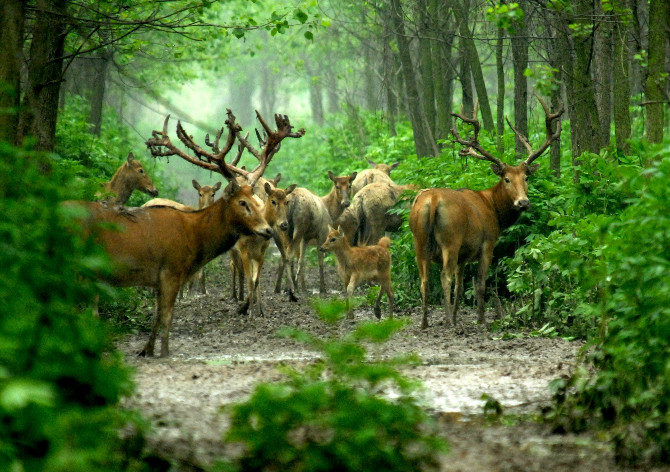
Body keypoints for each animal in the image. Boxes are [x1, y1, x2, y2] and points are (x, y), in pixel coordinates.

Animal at [231, 183, 296, 316]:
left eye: (287, 201)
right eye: (273, 201)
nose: (284, 224)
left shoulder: (261, 252)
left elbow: (256, 280)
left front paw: (256, 310)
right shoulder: (244, 250)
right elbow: (250, 281)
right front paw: (248, 311)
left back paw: (258, 307)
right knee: (233, 266)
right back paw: (235, 296)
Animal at [412, 95, 564, 328]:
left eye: (526, 178)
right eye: (507, 179)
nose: (523, 202)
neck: (494, 210)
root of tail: (434, 199)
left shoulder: (464, 256)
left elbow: (460, 286)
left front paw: (458, 313)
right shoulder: (487, 243)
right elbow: (480, 284)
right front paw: (480, 319)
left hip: (419, 240)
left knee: (424, 280)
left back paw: (425, 322)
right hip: (451, 239)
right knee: (444, 277)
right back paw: (449, 322)